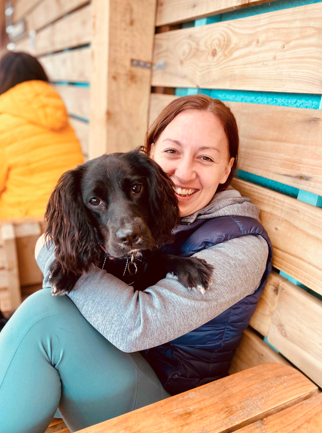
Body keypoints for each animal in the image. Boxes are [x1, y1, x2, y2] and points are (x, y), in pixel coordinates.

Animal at [44, 148, 211, 294]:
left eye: (136, 188)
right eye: (94, 200)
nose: (130, 236)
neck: (125, 261)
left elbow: (159, 258)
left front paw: (189, 266)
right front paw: (65, 269)